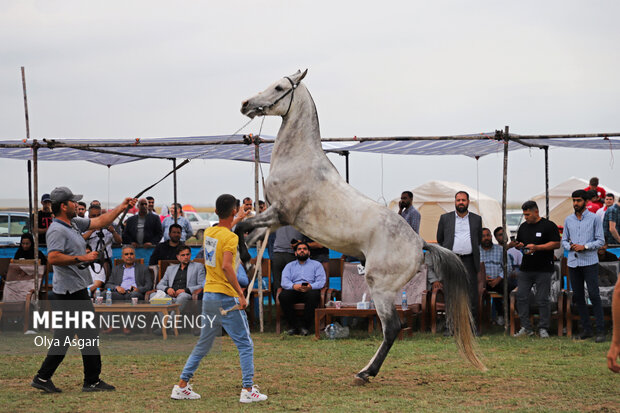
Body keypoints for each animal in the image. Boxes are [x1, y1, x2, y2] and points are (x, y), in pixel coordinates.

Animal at [237, 68, 484, 384]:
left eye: (280, 87)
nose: (245, 104)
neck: (300, 162)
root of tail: (420, 243)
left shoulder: (280, 214)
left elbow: (241, 227)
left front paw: (244, 261)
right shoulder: (273, 217)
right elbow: (247, 234)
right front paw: (244, 268)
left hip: (381, 288)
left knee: (392, 328)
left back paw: (366, 372)